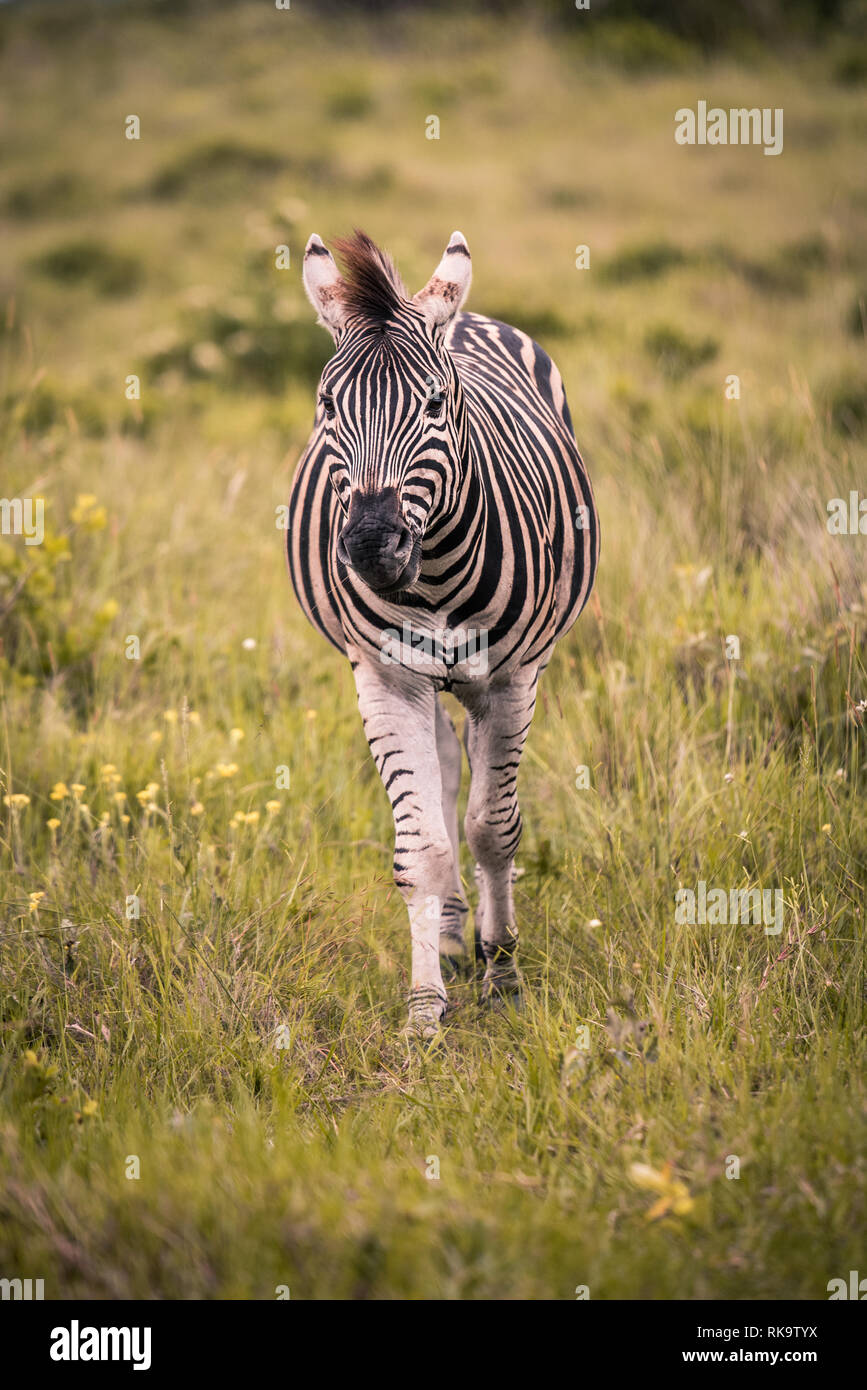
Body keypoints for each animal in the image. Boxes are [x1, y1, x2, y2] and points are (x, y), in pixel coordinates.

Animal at [287, 230, 600, 1034]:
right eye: (327, 405)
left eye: (433, 402)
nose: (371, 547)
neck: (433, 579)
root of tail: (449, 309)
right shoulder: (385, 676)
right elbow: (421, 847)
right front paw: (425, 1009)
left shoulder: (513, 677)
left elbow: (494, 829)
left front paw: (507, 977)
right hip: (421, 678)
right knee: (446, 770)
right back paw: (456, 939)